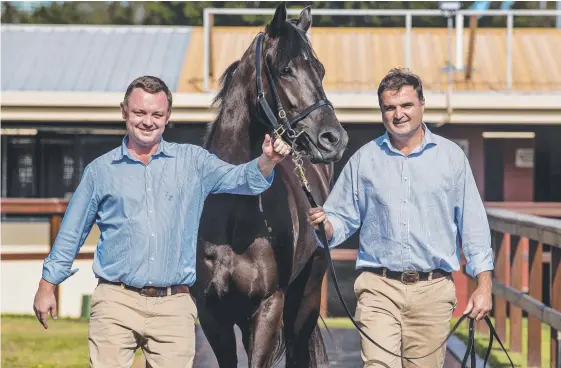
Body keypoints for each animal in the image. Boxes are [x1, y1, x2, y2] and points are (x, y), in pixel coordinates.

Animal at [195, 3, 348, 368]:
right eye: (285, 69)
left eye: (320, 70)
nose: (334, 138)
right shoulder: (212, 315)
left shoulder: (268, 307)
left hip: (304, 300)